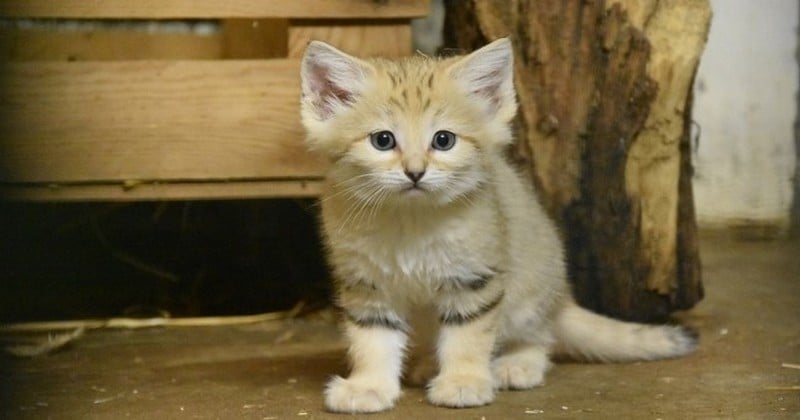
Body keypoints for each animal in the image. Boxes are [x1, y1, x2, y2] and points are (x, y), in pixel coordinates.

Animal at [296, 38, 696, 414]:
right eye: (383, 141)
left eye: (443, 140)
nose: (415, 172)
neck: (410, 218)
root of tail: (560, 298)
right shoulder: (366, 285)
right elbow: (372, 341)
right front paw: (369, 387)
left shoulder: (475, 278)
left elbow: (467, 338)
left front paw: (463, 381)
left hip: (527, 298)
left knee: (542, 339)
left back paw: (516, 365)